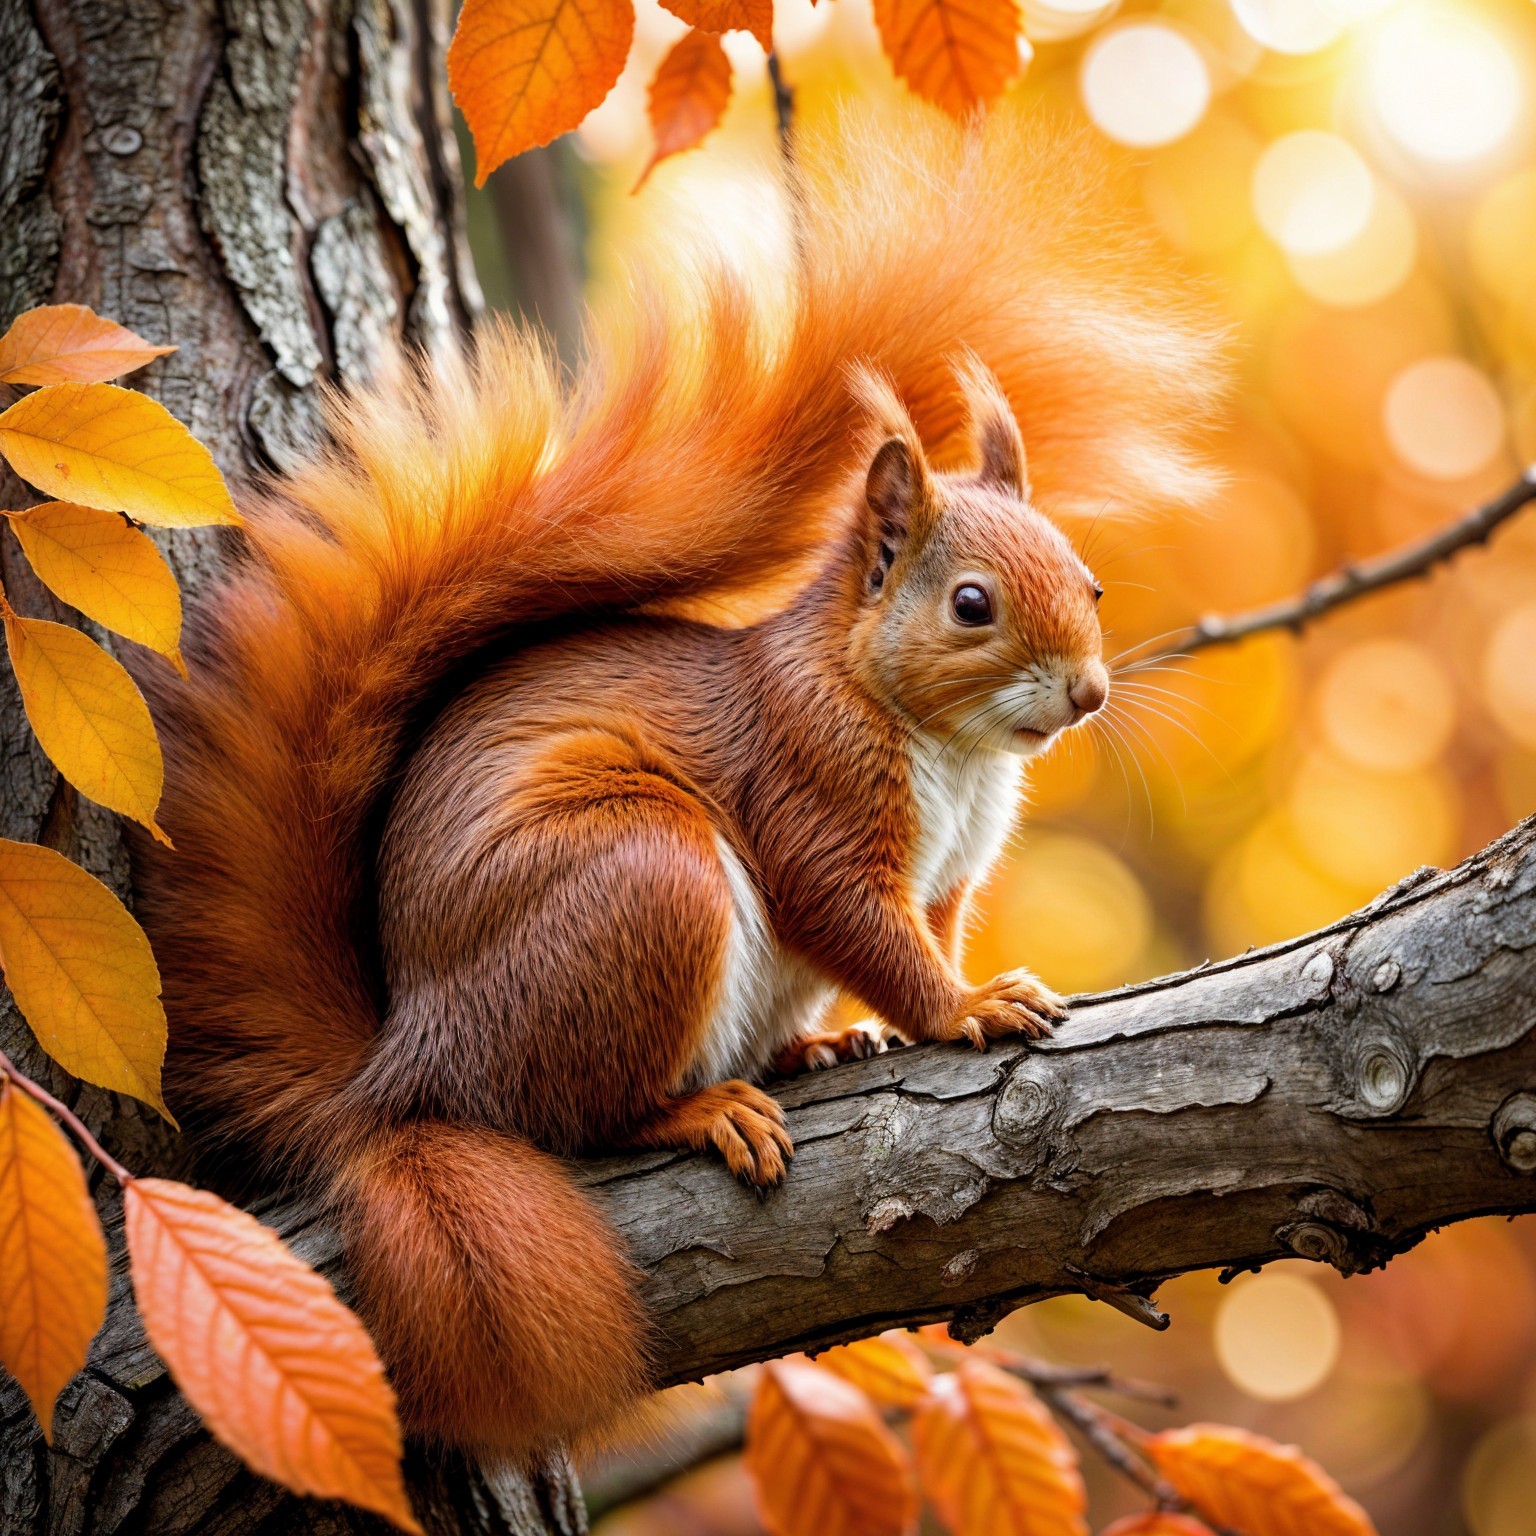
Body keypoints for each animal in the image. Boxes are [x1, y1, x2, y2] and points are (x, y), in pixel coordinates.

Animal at [135, 103, 1223, 1463]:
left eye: (1089, 581)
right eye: (971, 605)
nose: (1085, 693)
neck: (952, 749)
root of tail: (399, 1072)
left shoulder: (953, 872)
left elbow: (926, 926)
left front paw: (950, 992)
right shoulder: (812, 792)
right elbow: (860, 924)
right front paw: (963, 1008)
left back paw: (808, 1047)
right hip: (644, 885)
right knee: (572, 1113)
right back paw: (698, 1111)